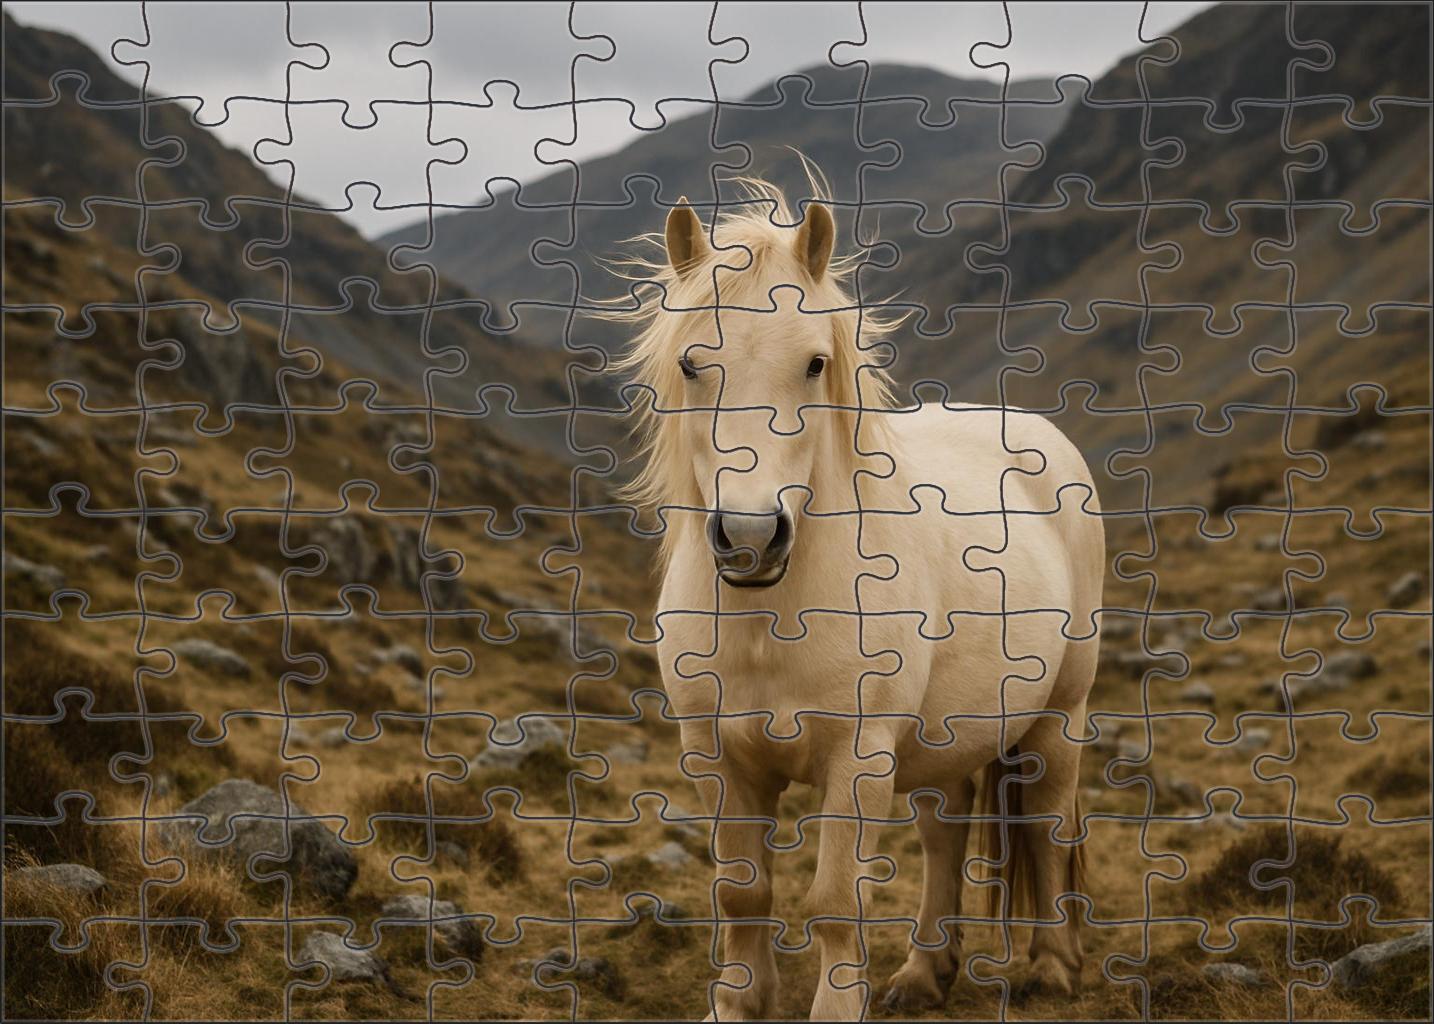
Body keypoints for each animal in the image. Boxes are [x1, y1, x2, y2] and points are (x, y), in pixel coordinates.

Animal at [606, 179, 1104, 1020]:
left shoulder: (858, 757)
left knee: (1045, 824)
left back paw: (1052, 964)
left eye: (814, 364)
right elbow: (743, 895)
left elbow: (837, 900)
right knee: (943, 831)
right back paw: (924, 972)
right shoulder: (717, 759)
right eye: (691, 364)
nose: (750, 538)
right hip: (946, 737)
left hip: (1056, 719)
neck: (774, 618)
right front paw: (737, 1003)